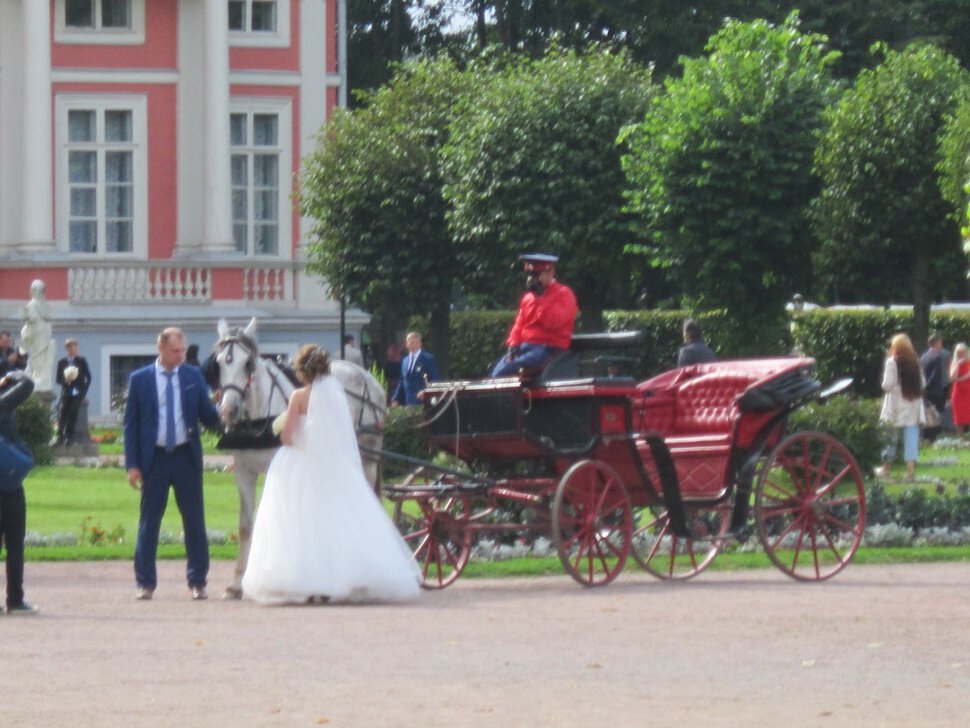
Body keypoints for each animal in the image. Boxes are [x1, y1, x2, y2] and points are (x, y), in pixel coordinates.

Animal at [215, 318, 386, 596]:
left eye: (247, 362)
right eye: (219, 362)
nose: (229, 409)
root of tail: (367, 376)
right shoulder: (243, 471)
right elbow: (245, 525)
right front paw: (237, 582)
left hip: (368, 459)